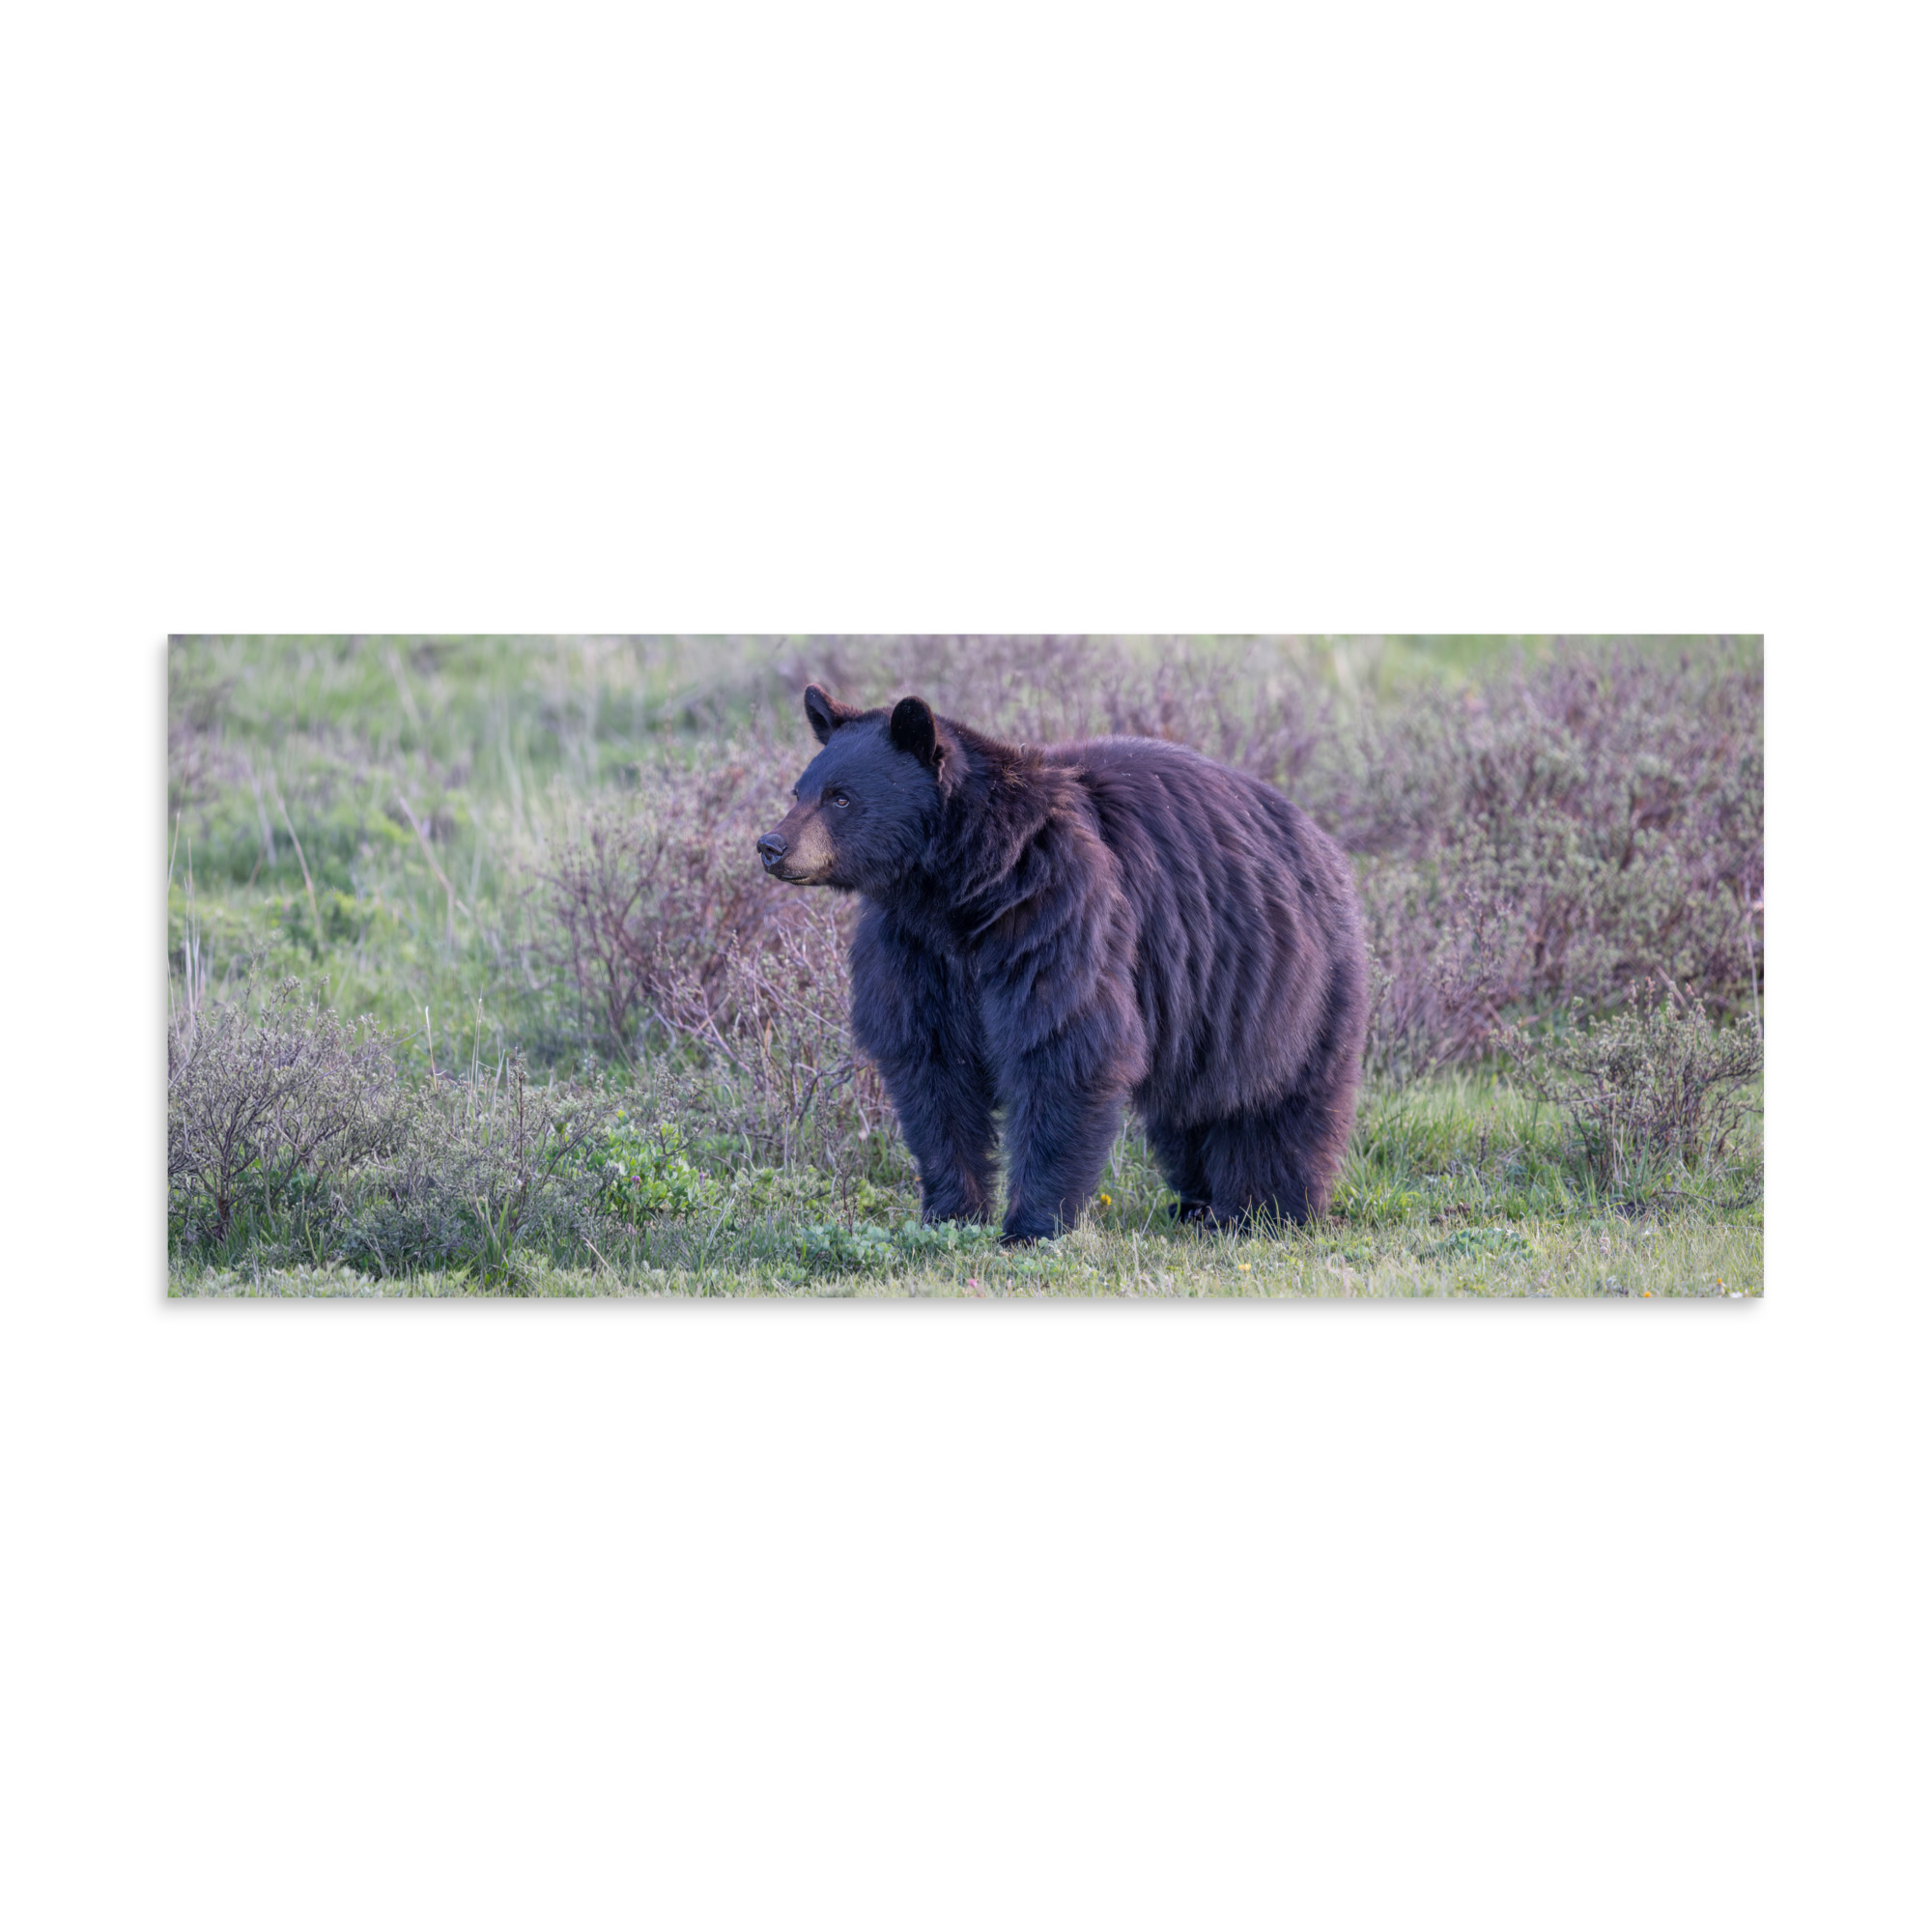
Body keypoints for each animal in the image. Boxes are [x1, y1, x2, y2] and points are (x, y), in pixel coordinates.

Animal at [757, 683, 1368, 1244]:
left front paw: (1030, 1226)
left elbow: (1062, 1046)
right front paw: (951, 1213)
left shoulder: (1056, 912)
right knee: (1191, 1108)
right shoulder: (914, 949)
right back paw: (1196, 1204)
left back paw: (1264, 1210)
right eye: (799, 790)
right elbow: (931, 1067)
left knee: (1279, 1102)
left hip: (1286, 981)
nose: (771, 845)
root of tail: (1320, 839)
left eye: (840, 798)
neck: (961, 888)